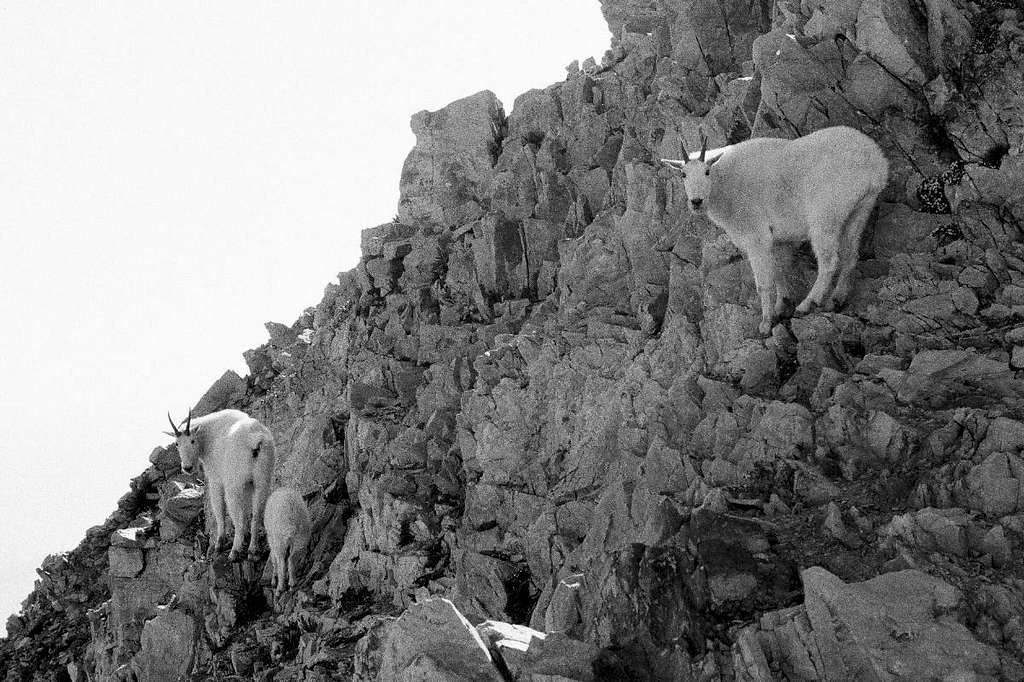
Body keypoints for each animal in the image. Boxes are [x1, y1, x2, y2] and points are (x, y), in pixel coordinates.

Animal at [165, 405, 276, 561]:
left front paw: (219, 544)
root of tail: (255, 440)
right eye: (177, 444)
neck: (208, 436)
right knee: (257, 515)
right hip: (262, 480)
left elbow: (219, 509)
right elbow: (247, 511)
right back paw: (253, 551)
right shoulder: (249, 484)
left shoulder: (215, 480)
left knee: (238, 519)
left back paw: (234, 552)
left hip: (234, 485)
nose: (187, 468)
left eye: (192, 441)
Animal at [663, 125, 888, 335]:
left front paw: (765, 323)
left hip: (825, 216)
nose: (696, 201)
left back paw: (808, 304)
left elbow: (764, 283)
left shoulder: (756, 236)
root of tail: (877, 162)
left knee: (829, 262)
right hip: (860, 209)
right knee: (851, 254)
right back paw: (837, 299)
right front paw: (782, 306)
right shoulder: (777, 240)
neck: (724, 184)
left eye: (707, 172)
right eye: (683, 174)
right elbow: (779, 271)